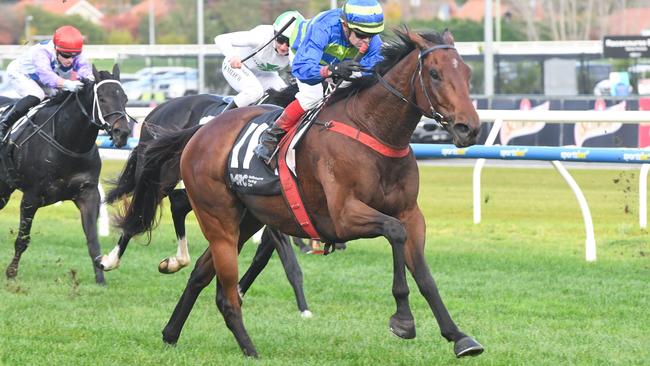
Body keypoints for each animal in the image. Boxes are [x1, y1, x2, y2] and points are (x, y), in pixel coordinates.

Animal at [0, 64, 130, 284]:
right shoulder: (31, 197)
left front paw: (100, 279)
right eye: (102, 98)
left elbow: (93, 240)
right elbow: (22, 239)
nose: (123, 132)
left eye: (125, 98)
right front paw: (11, 273)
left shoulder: (88, 194)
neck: (69, 142)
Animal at [98, 87, 314, 316]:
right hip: (161, 177)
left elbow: (263, 256)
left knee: (176, 203)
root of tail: (158, 109)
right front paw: (304, 308)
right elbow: (286, 258)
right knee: (139, 214)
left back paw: (177, 260)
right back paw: (110, 260)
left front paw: (239, 290)